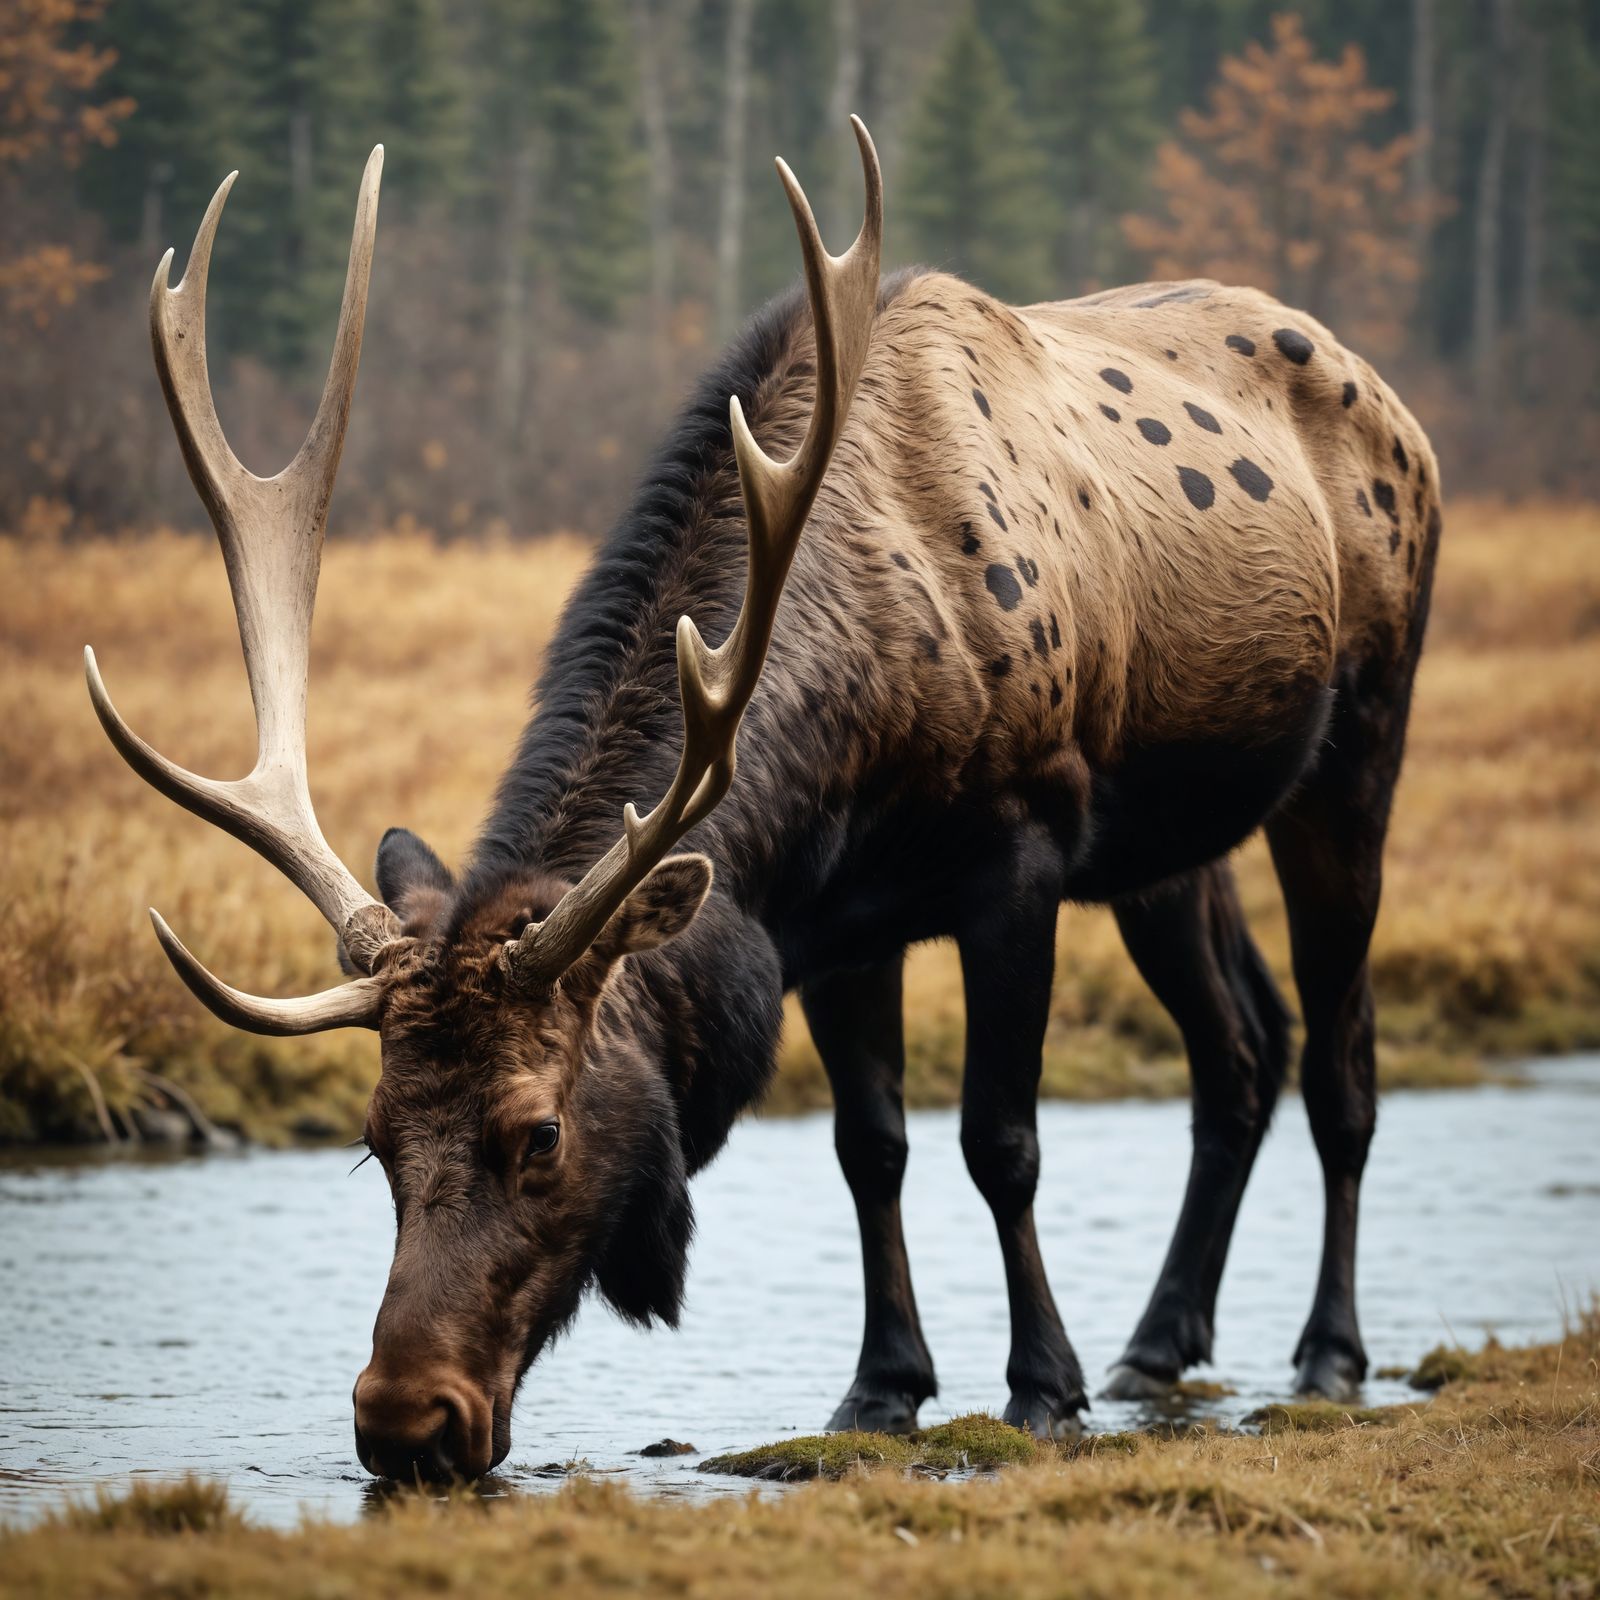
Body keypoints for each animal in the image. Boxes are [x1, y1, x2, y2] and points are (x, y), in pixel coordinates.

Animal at [87, 119, 1442, 1481]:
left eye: (539, 1131)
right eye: (373, 1136)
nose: (405, 1418)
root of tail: (1394, 406)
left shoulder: (1020, 854)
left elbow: (999, 1140)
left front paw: (1039, 1385)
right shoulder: (837, 924)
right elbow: (869, 1147)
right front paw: (883, 1384)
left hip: (1358, 744)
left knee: (1340, 1057)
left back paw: (1327, 1350)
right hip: (1166, 843)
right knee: (1238, 1047)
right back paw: (1159, 1341)